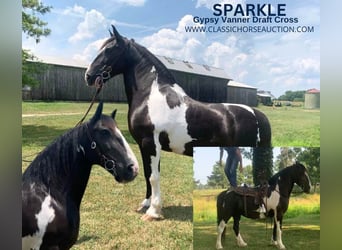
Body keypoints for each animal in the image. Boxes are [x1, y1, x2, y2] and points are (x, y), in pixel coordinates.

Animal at [84, 25, 272, 220]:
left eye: (109, 50)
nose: (88, 76)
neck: (150, 95)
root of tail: (258, 115)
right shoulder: (144, 146)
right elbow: (147, 174)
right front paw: (146, 204)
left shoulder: (151, 144)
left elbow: (153, 177)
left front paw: (153, 211)